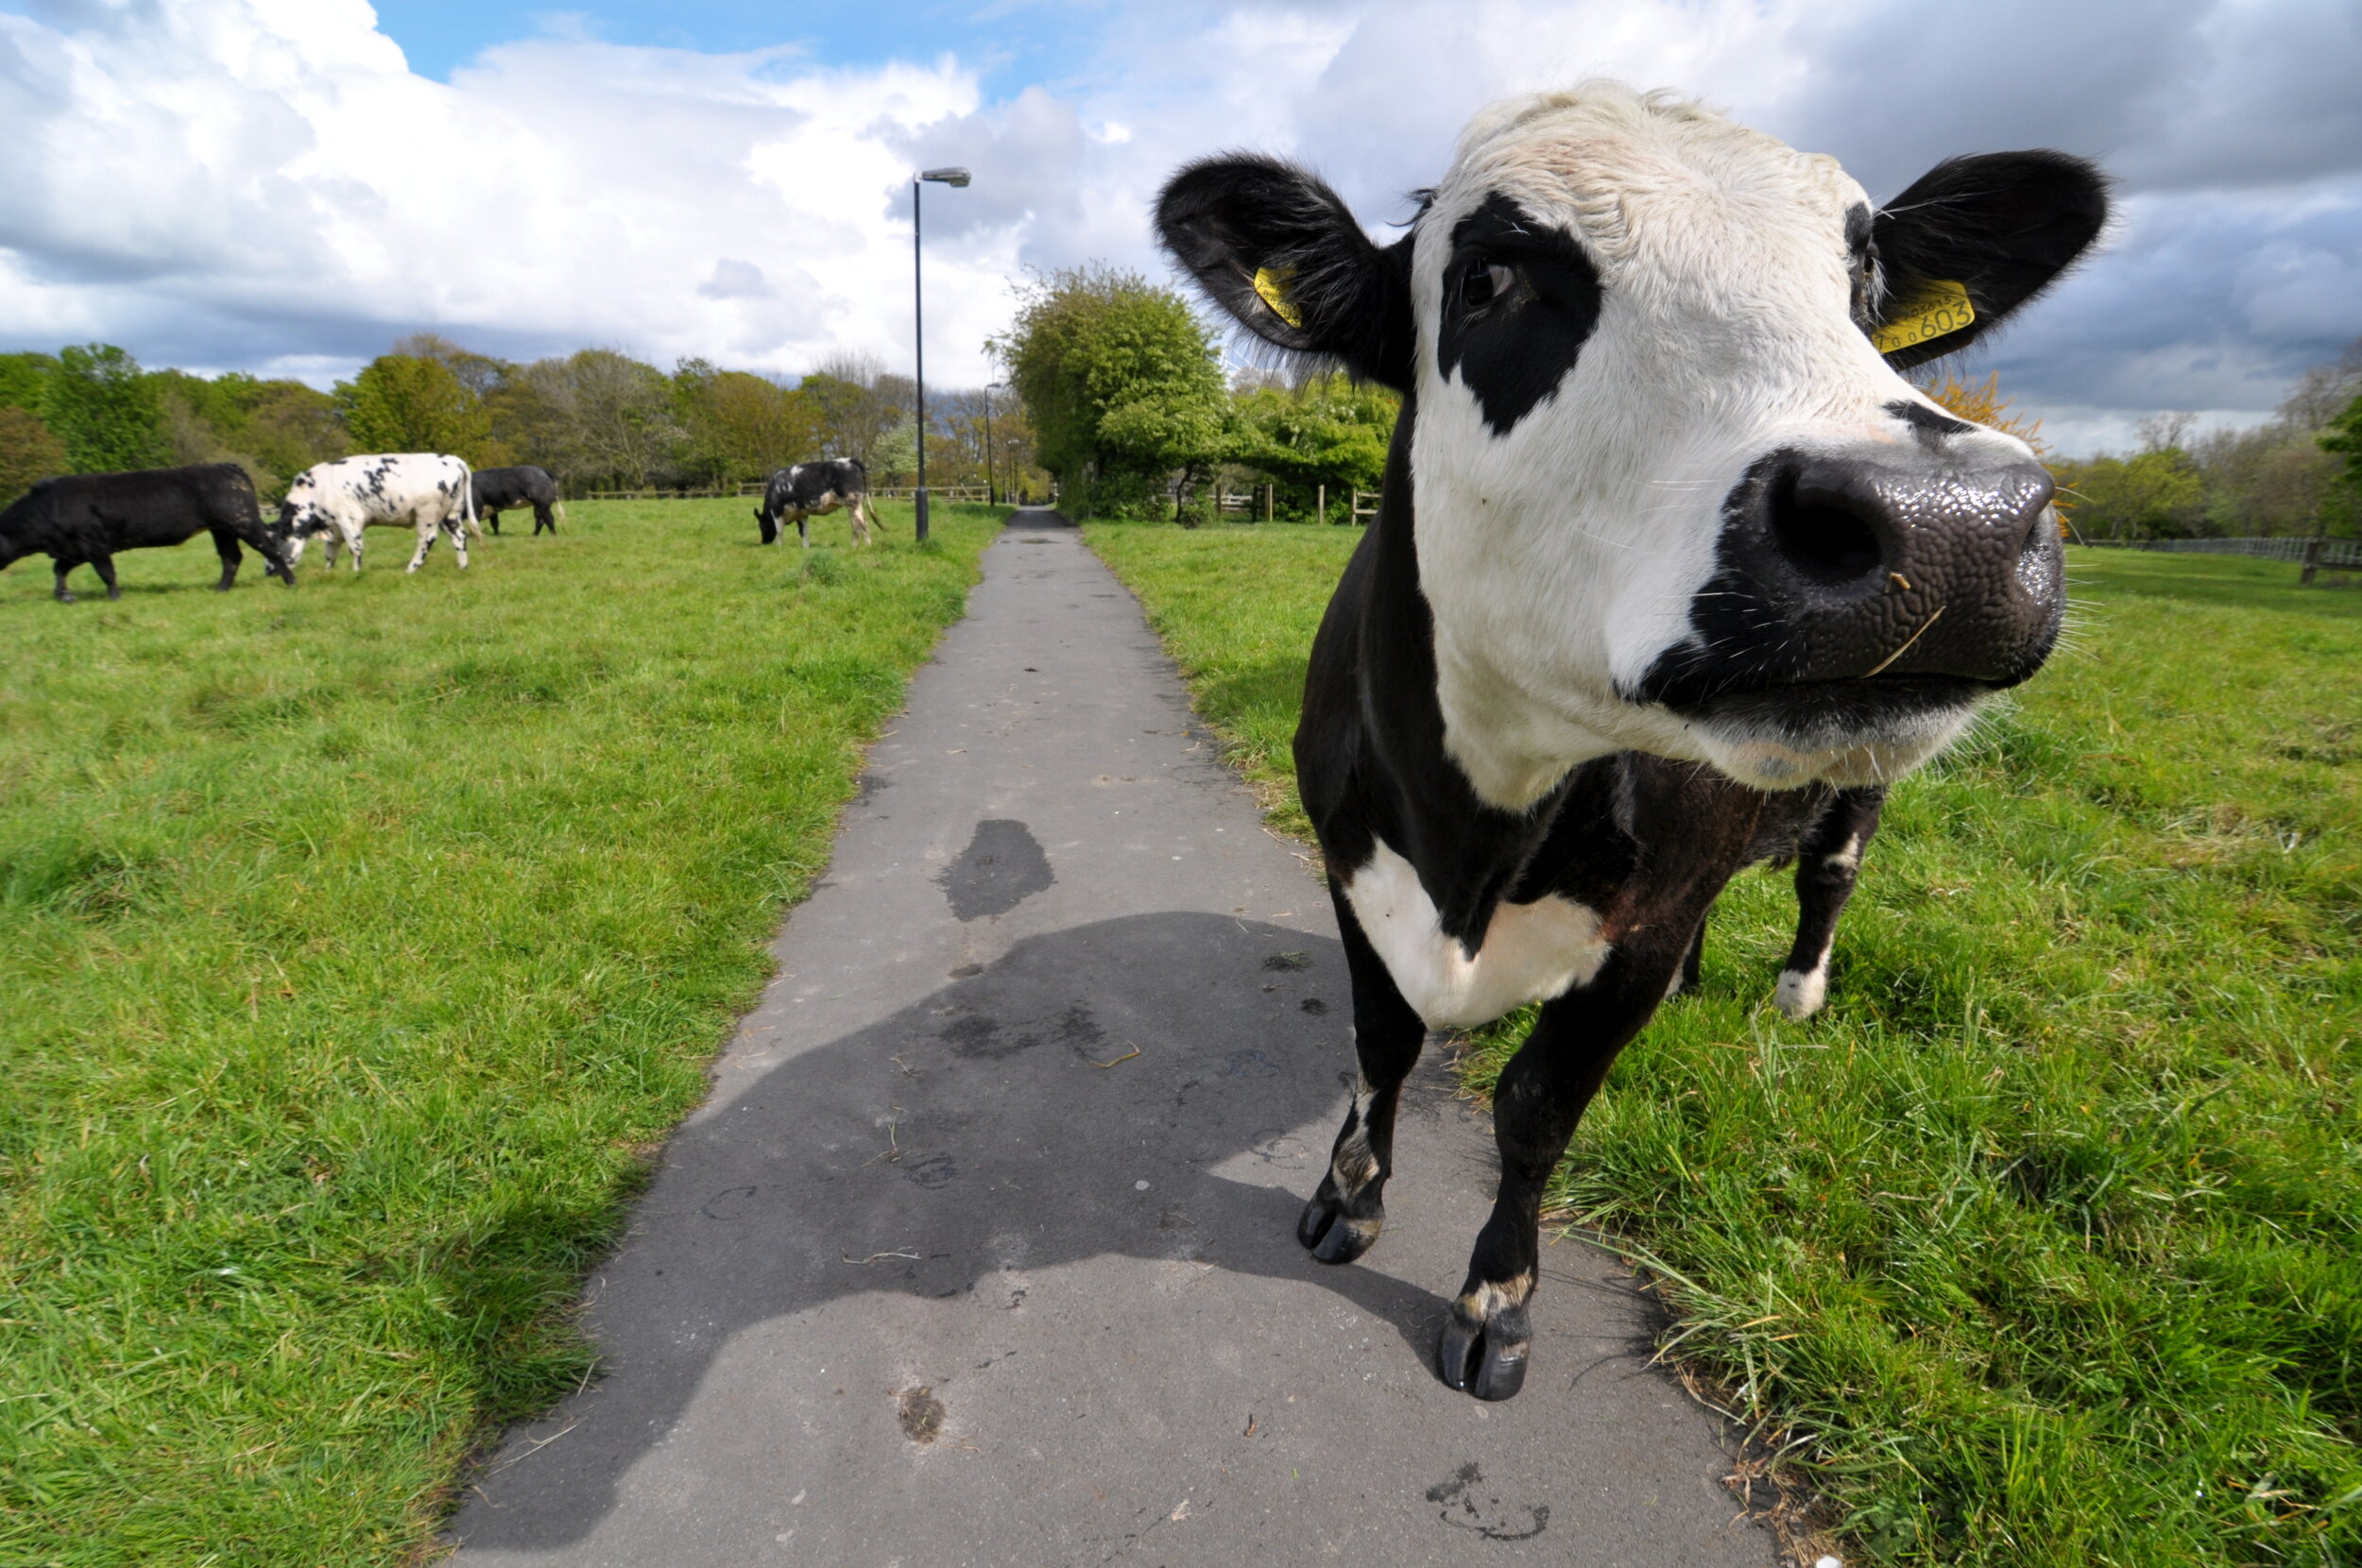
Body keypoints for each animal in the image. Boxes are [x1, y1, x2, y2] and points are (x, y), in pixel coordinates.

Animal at [0, 463, 294, 601]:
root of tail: (226, 466)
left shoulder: (94, 545)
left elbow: (106, 573)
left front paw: (114, 598)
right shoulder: (74, 549)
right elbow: (59, 569)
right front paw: (64, 595)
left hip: (242, 522)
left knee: (270, 547)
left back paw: (290, 581)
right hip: (222, 529)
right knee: (231, 557)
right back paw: (220, 589)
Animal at [275, 454, 479, 574]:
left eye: (274, 546)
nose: (270, 572)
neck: (316, 490)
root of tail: (453, 460)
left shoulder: (349, 519)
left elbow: (355, 547)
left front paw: (356, 572)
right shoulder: (334, 528)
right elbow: (330, 552)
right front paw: (328, 572)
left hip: (427, 513)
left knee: (426, 539)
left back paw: (411, 568)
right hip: (451, 513)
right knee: (459, 536)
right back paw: (463, 566)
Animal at [755, 459, 881, 547]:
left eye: (760, 526)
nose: (764, 543)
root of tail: (849, 460)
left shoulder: (777, 511)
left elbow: (779, 531)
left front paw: (780, 547)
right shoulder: (802, 513)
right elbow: (804, 532)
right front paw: (805, 548)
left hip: (853, 503)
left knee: (862, 524)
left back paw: (868, 546)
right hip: (853, 506)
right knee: (856, 526)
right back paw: (853, 546)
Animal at [1154, 83, 2105, 1400]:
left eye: (1861, 282)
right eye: (1488, 277)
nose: (1945, 521)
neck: (1471, 836)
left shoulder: (1637, 928)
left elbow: (1536, 1108)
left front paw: (1496, 1299)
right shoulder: (1348, 859)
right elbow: (1380, 1040)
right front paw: (1347, 1200)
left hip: (1863, 774)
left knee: (1829, 869)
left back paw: (1794, 992)